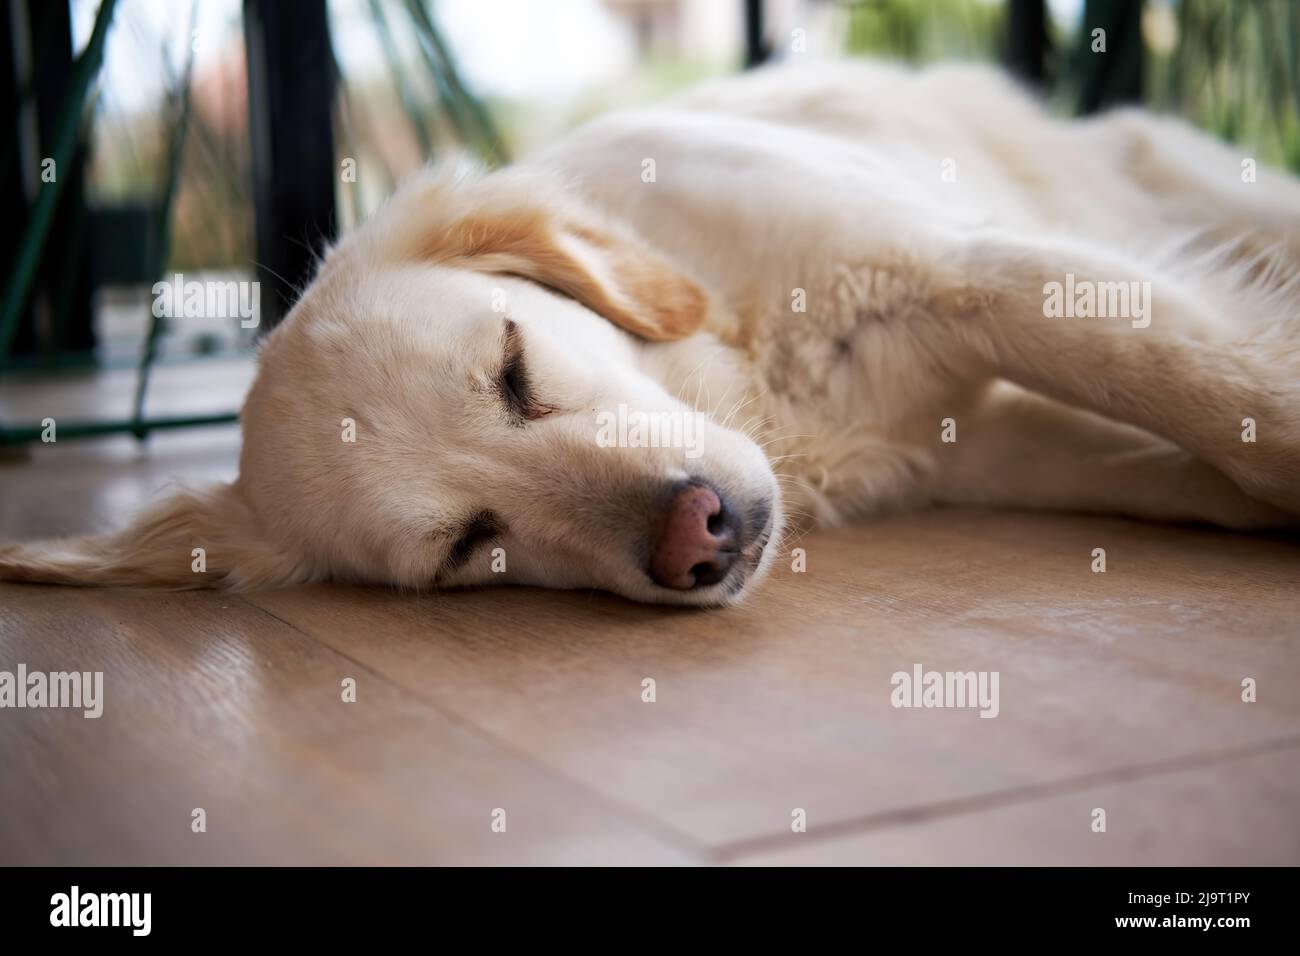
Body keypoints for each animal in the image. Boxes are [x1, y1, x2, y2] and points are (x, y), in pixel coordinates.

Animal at [2, 61, 1300, 606]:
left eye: (514, 367)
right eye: (469, 544)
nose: (699, 537)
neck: (745, 365)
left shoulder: (967, 272)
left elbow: (1211, 388)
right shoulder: (988, 447)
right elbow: (1192, 461)